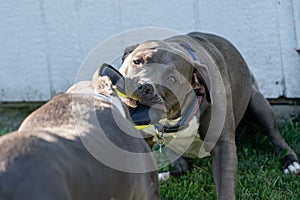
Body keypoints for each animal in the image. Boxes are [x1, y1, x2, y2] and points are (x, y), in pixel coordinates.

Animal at [119, 32, 300, 199]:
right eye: (137, 61)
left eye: (172, 79)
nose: (144, 87)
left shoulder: (222, 144)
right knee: (182, 168)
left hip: (258, 104)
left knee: (276, 136)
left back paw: (291, 163)